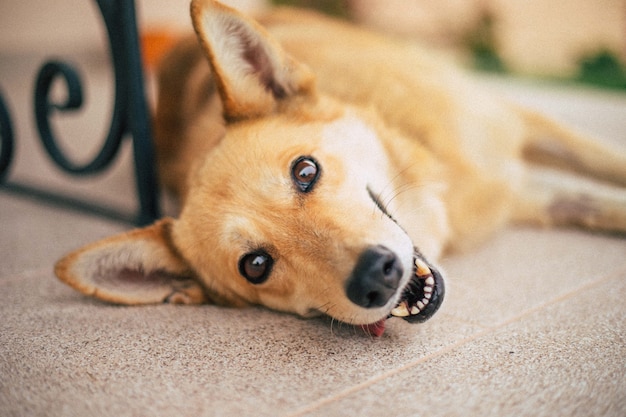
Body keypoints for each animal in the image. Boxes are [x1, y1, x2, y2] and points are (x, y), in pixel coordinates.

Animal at [54, 0, 624, 336]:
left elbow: (608, 165)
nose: (376, 277)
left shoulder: (526, 125)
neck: (435, 176)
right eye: (255, 266)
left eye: (305, 172)